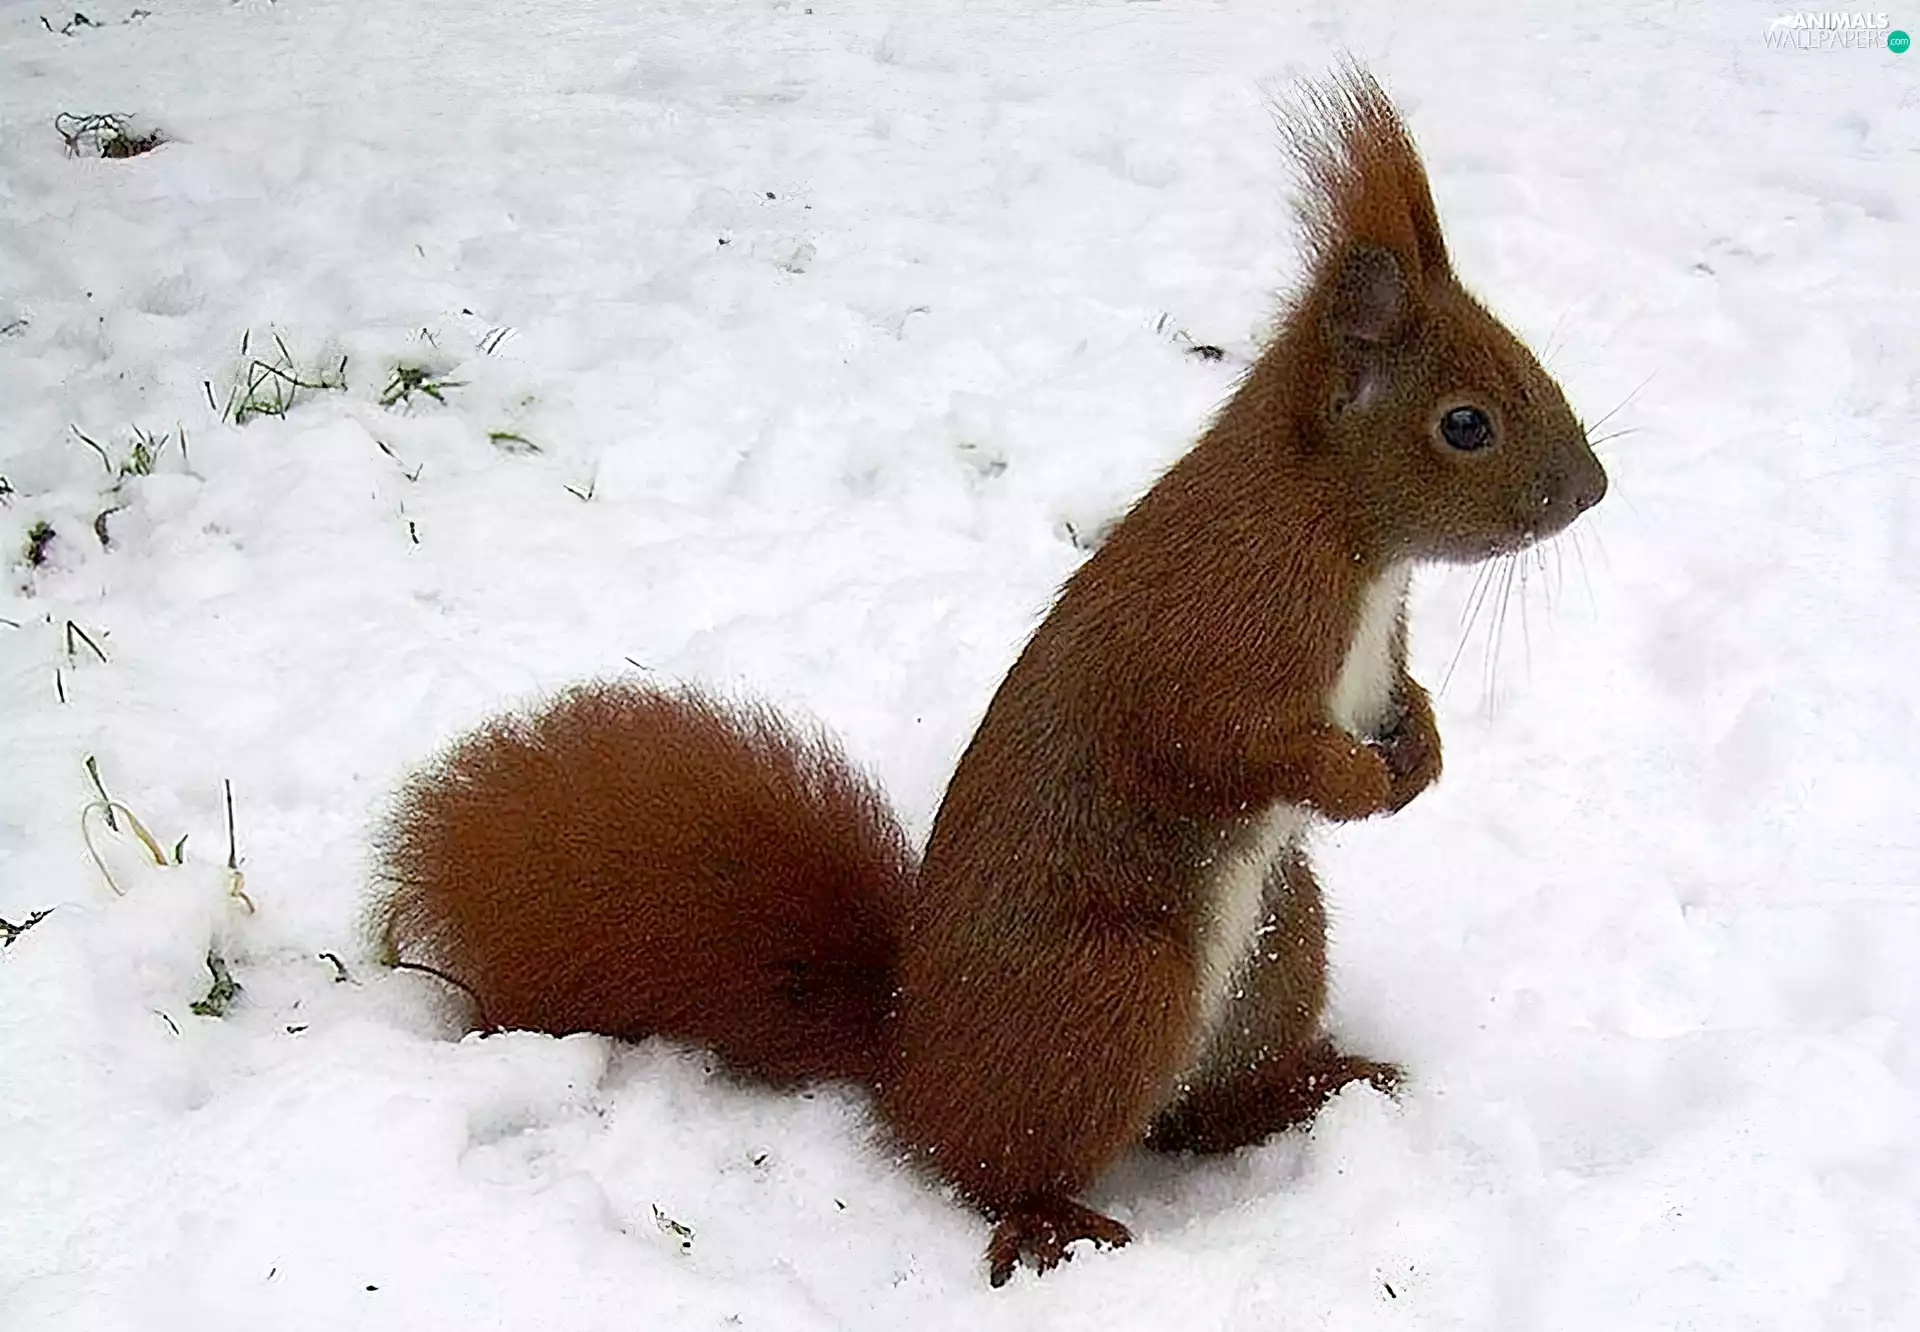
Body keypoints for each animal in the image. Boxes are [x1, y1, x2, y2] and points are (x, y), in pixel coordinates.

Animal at [370, 65, 1606, 1288]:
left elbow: (1403, 700)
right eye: (1465, 424)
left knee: (1205, 1112)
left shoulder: (1375, 657)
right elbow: (1223, 743)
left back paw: (1313, 1087)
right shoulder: (1216, 635)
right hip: (1112, 990)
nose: (1593, 490)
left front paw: (1424, 756)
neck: (1348, 540)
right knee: (998, 1167)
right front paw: (1356, 782)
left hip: (1279, 950)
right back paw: (1054, 1223)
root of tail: (910, 1067)